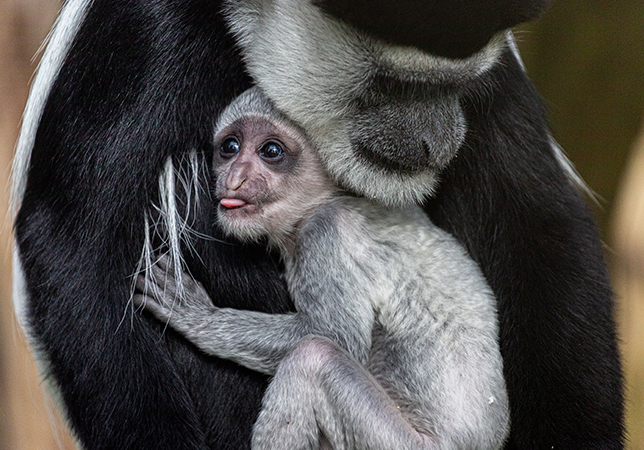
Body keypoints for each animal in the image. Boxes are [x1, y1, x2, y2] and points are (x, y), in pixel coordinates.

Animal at [134, 88, 510, 450]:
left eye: (271, 151)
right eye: (230, 147)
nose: (235, 178)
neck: (329, 198)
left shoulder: (324, 232)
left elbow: (333, 336)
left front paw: (198, 317)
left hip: (399, 443)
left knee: (312, 357)